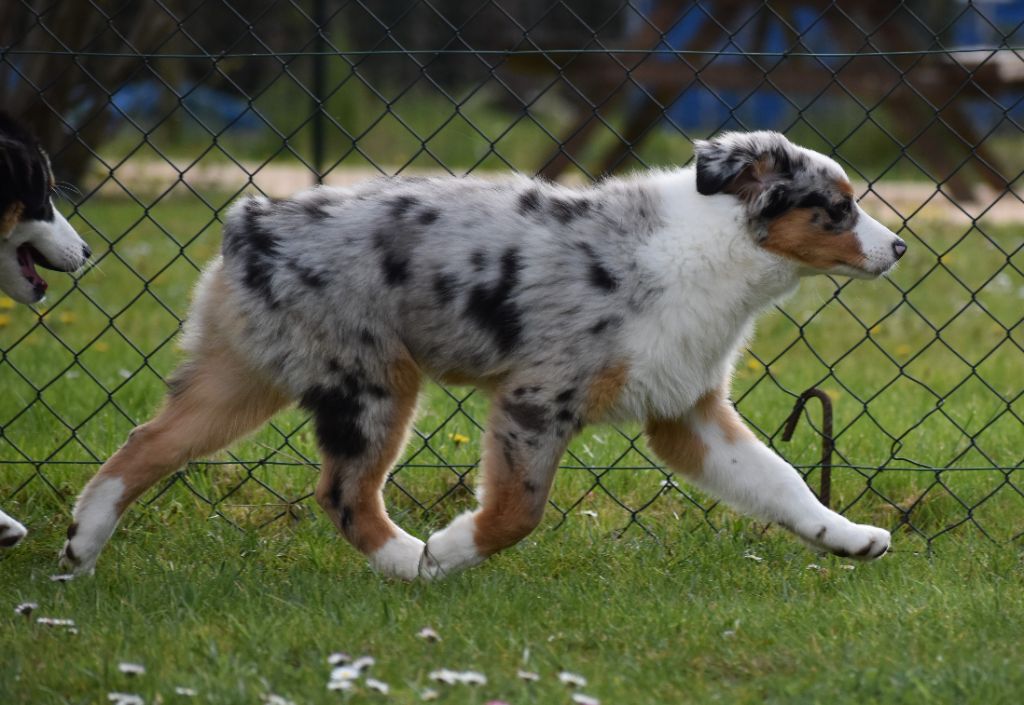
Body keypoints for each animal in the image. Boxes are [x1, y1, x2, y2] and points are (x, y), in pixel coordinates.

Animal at [58, 130, 905, 577]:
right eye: (837, 209)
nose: (899, 247)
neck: (718, 248)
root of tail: (253, 220)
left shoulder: (684, 409)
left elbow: (780, 479)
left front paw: (848, 535)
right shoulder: (539, 395)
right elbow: (518, 508)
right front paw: (453, 545)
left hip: (243, 375)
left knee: (147, 442)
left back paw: (81, 546)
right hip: (370, 382)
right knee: (343, 491)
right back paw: (411, 560)